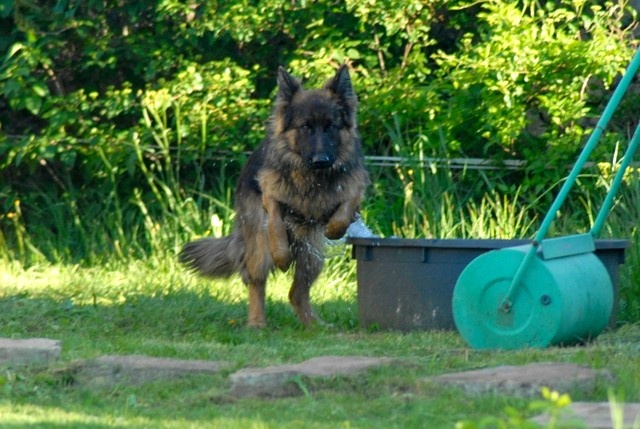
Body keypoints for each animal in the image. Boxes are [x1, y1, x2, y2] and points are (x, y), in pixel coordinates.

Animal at [180, 66, 370, 328]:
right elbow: (276, 225)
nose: (321, 160)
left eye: (331, 126)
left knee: (296, 293)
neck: (311, 178)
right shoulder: (269, 197)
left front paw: (334, 229)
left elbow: (345, 208)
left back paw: (314, 325)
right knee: (256, 282)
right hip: (259, 248)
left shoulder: (355, 188)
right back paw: (257, 322)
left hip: (312, 258)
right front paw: (281, 257)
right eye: (306, 127)